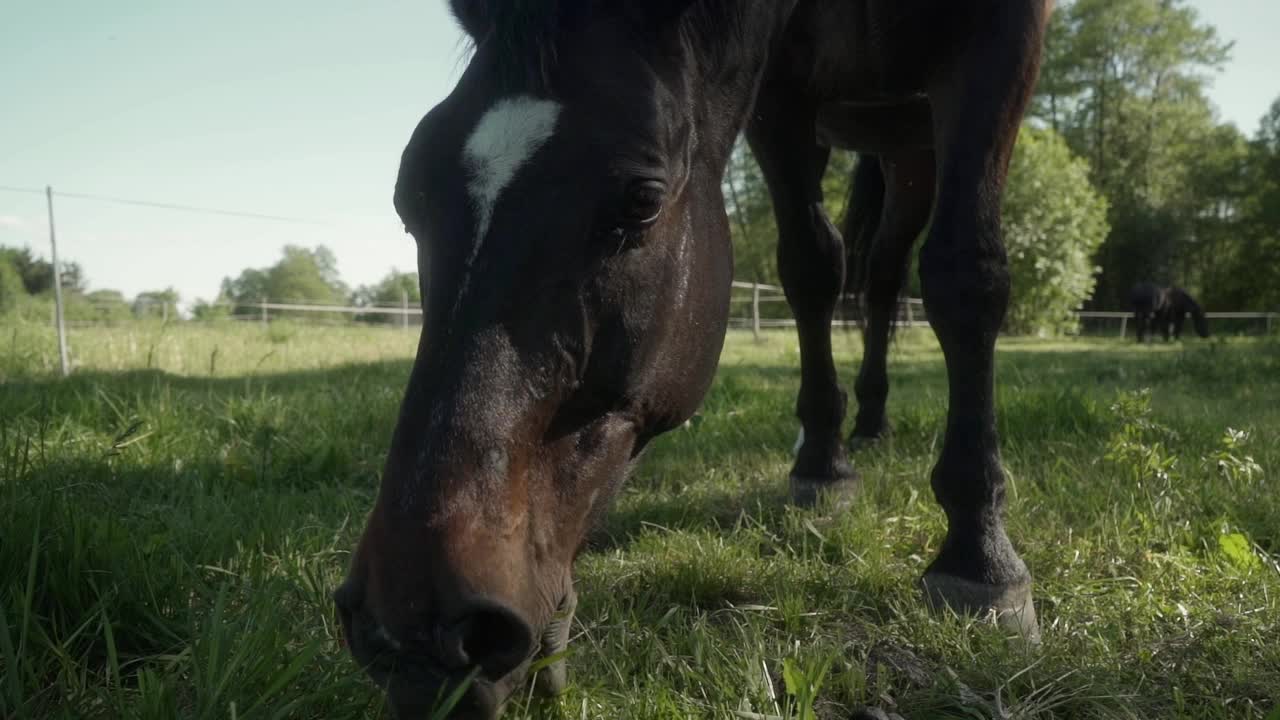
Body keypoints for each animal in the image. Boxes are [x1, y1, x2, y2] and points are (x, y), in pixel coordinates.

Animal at [337, 2, 1049, 712]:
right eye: (408, 198)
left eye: (643, 200)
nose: (412, 626)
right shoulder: (781, 99)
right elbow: (812, 266)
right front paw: (823, 464)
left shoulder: (1002, 41)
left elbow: (966, 274)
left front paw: (980, 553)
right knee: (877, 275)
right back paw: (865, 426)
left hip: (912, 149)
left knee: (890, 274)